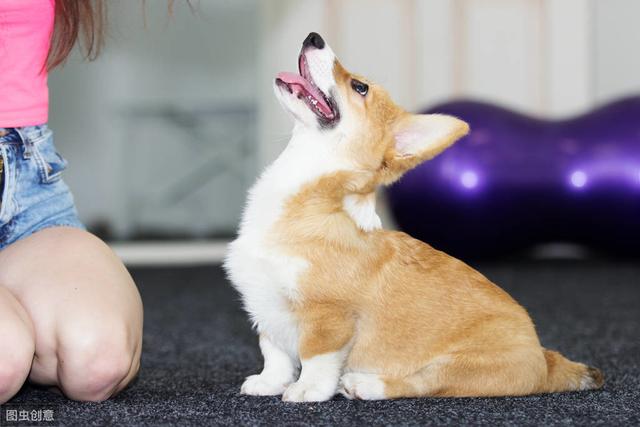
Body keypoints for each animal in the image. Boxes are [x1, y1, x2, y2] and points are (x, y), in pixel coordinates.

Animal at [226, 32, 604, 402]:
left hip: (455, 366)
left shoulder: (328, 317)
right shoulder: (267, 309)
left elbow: (315, 356)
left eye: (359, 87)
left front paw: (307, 390)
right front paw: (269, 382)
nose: (313, 36)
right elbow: (274, 352)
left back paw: (364, 385)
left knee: (418, 384)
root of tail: (545, 358)